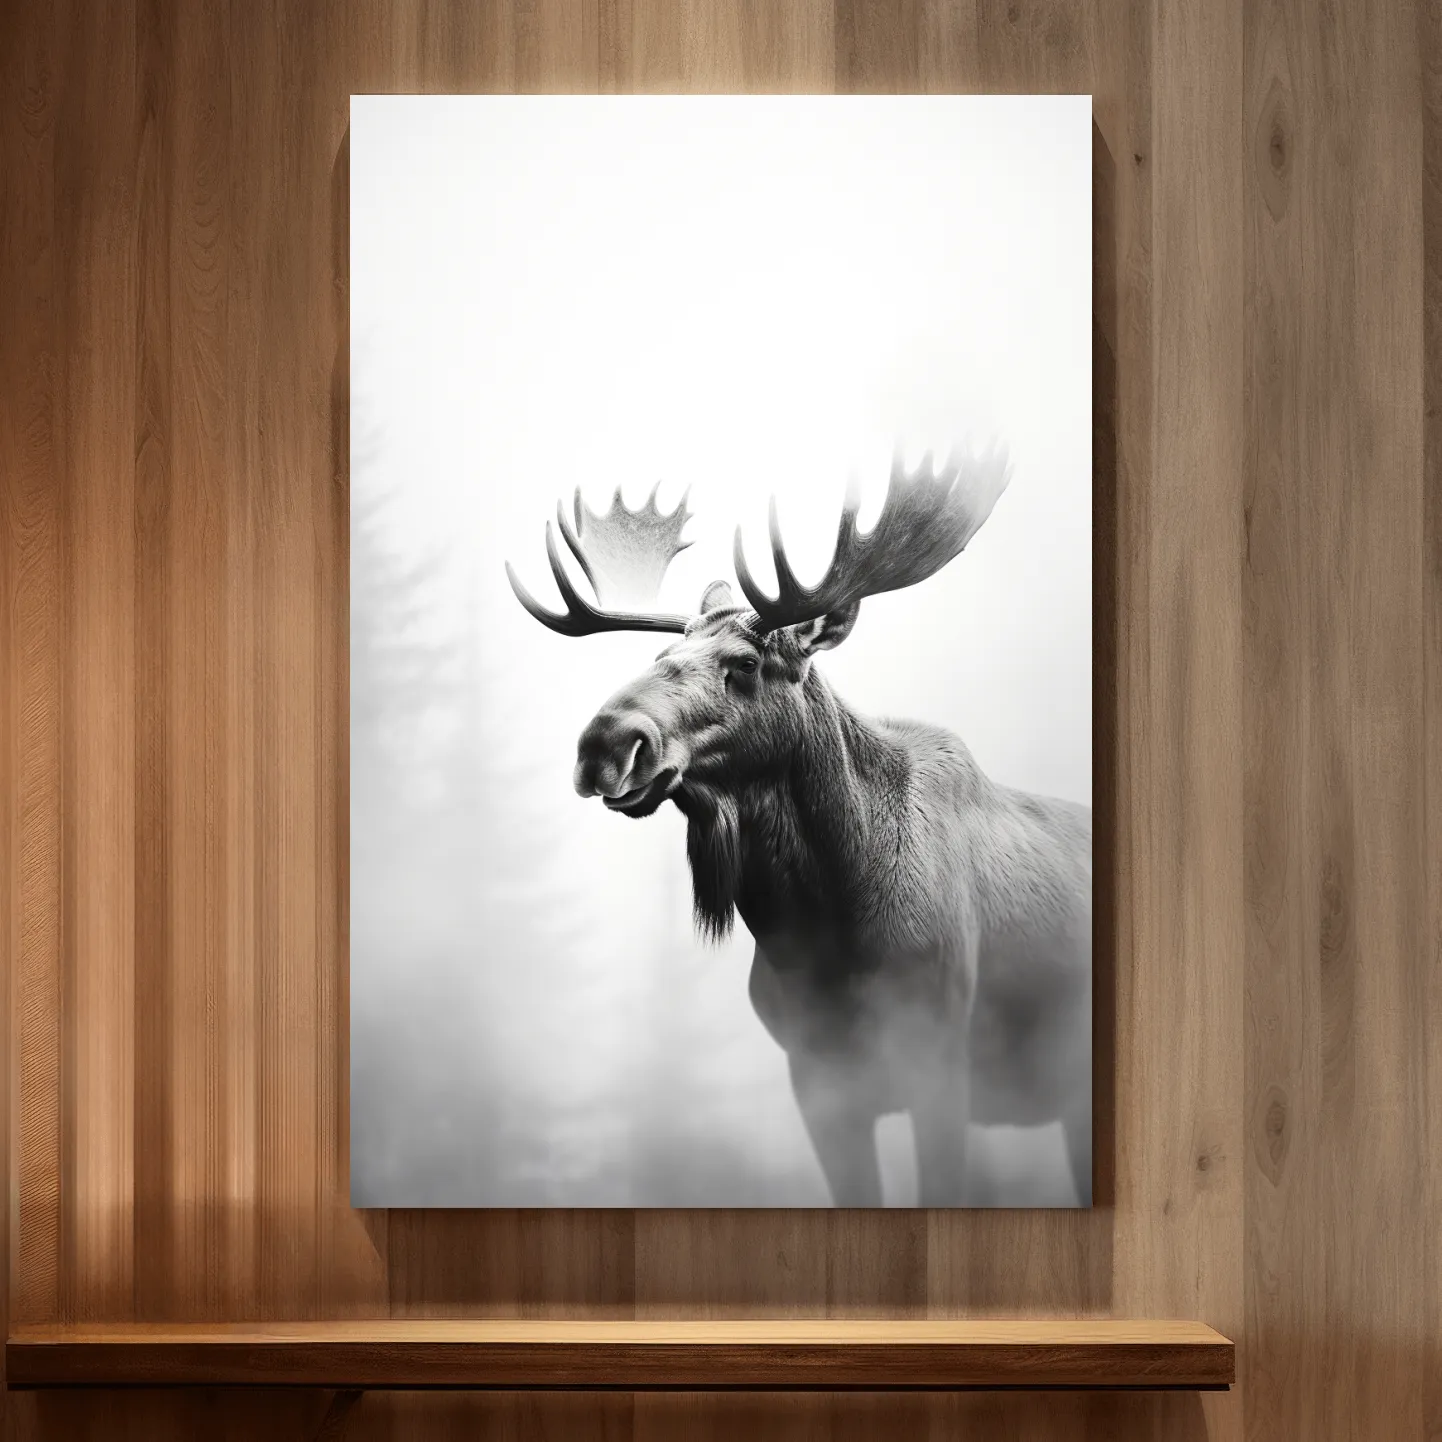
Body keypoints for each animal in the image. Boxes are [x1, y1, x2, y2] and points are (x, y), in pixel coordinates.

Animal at [505, 450, 1092, 1207]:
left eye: (745, 664)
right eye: (657, 661)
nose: (605, 742)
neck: (825, 929)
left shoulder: (940, 1062)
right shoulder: (818, 1081)